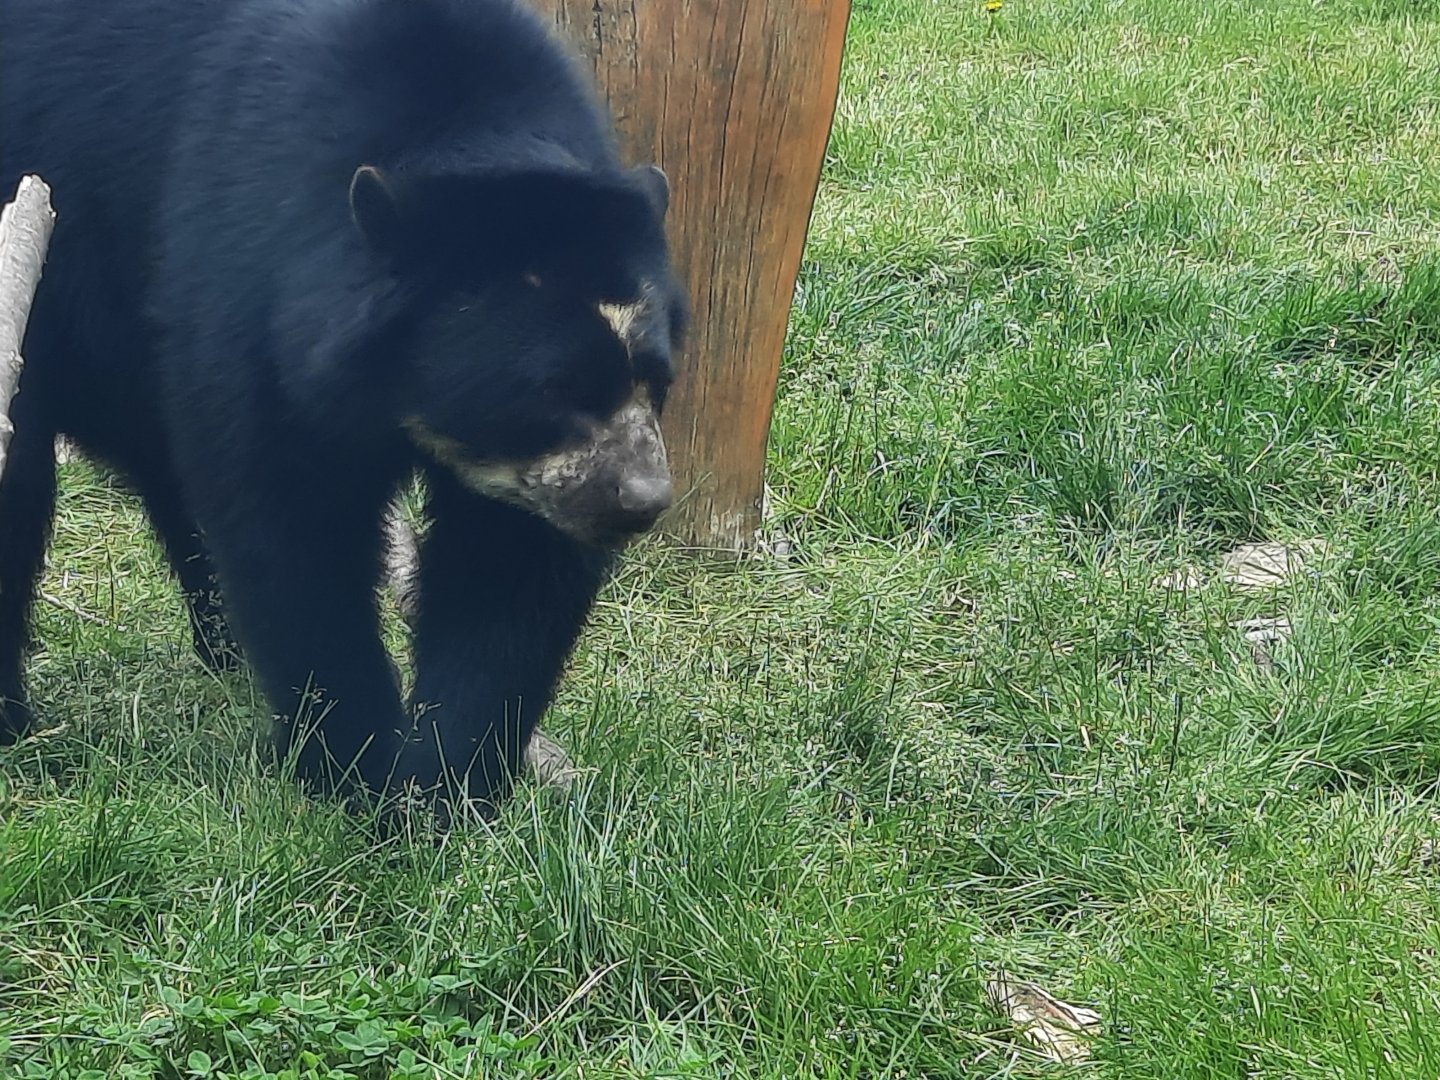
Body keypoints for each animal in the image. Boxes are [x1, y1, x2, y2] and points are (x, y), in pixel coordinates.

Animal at [0, 0, 688, 821]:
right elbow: (295, 534)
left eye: (656, 379)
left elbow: (512, 570)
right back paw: (17, 727)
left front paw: (447, 787)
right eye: (552, 388)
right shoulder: (248, 288)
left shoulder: (533, 486)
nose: (641, 500)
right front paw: (355, 775)